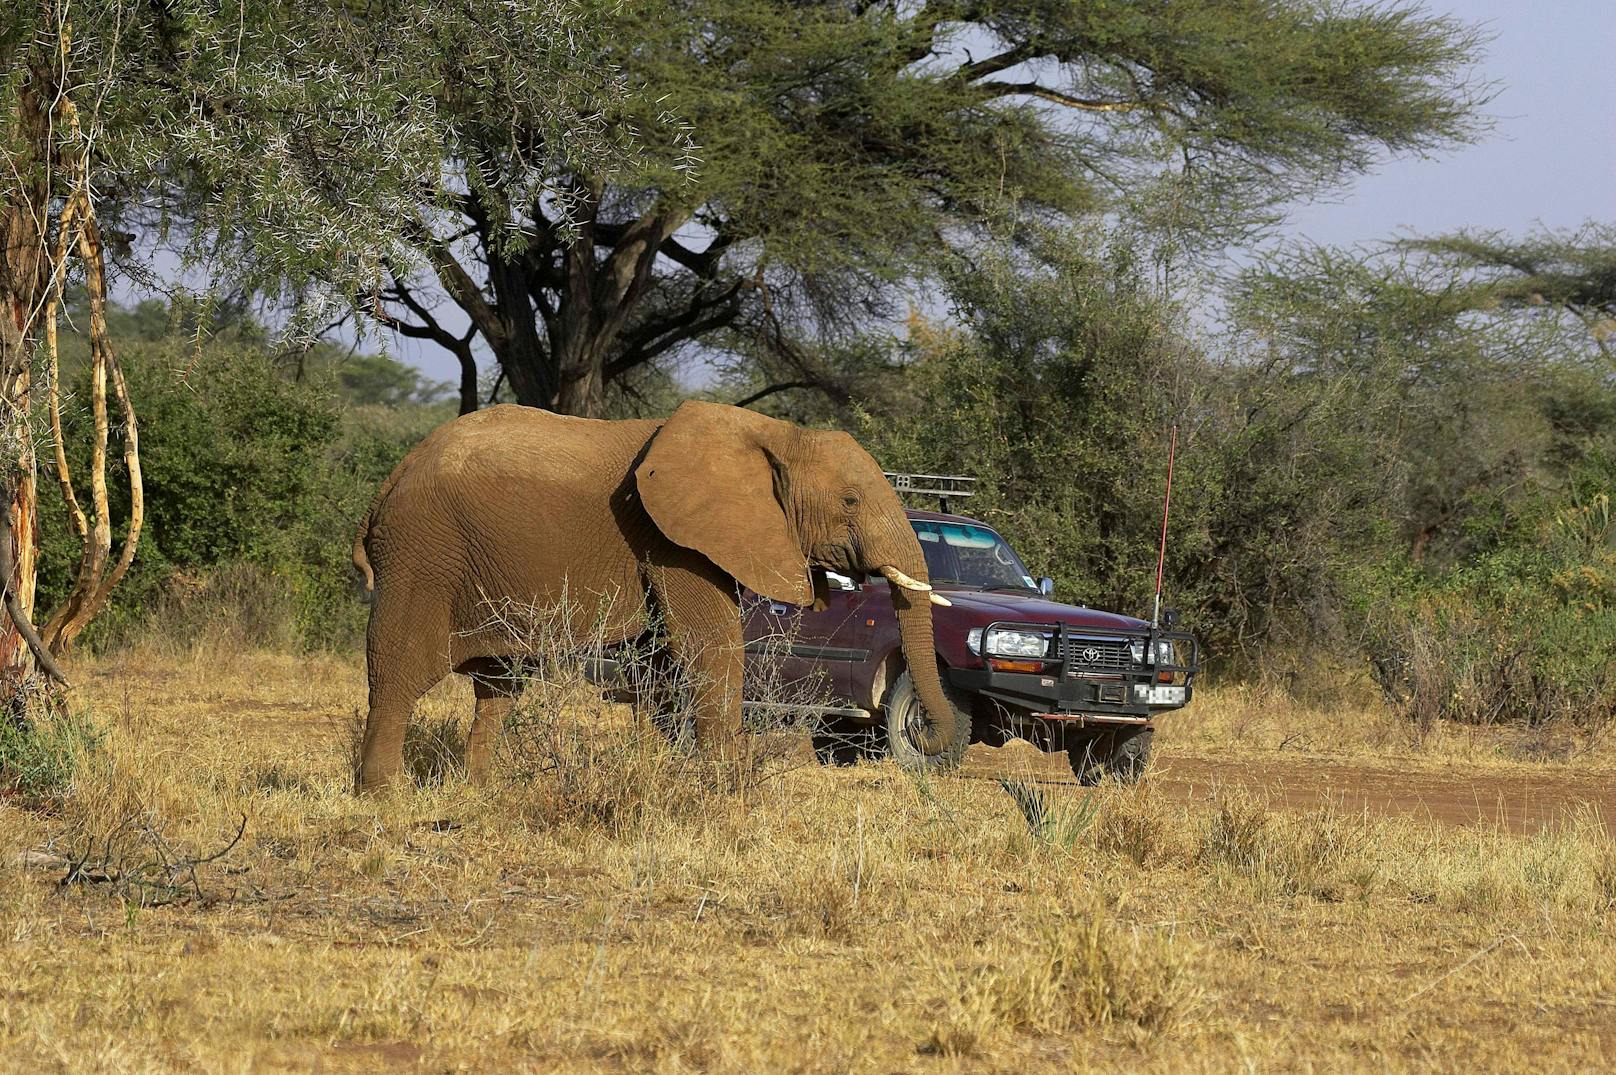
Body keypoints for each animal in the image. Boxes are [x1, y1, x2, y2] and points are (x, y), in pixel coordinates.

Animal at [350, 397, 956, 792]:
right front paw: (728, 788)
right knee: (400, 669)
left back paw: (478, 790)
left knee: (500, 682)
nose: (921, 732)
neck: (774, 433)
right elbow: (709, 642)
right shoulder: (672, 539)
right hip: (422, 555)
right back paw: (383, 795)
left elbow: (665, 661)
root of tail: (390, 481)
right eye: (851, 501)